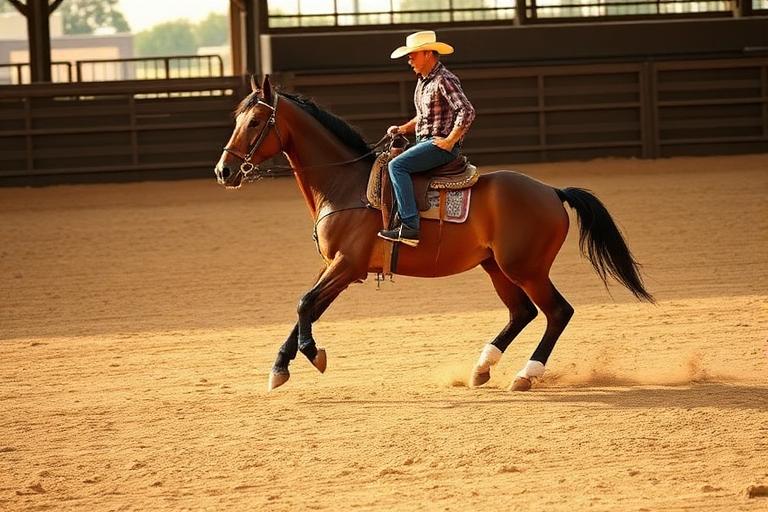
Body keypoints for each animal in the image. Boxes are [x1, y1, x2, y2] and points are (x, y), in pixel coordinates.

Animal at [214, 75, 654, 392]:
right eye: (238, 120)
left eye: (255, 122)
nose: (224, 171)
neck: (345, 185)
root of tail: (551, 191)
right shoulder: (338, 268)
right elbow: (307, 307)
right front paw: (280, 367)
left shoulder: (347, 265)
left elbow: (305, 304)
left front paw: (312, 354)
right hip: (497, 268)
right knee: (522, 313)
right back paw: (481, 368)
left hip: (526, 269)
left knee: (557, 312)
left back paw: (525, 374)